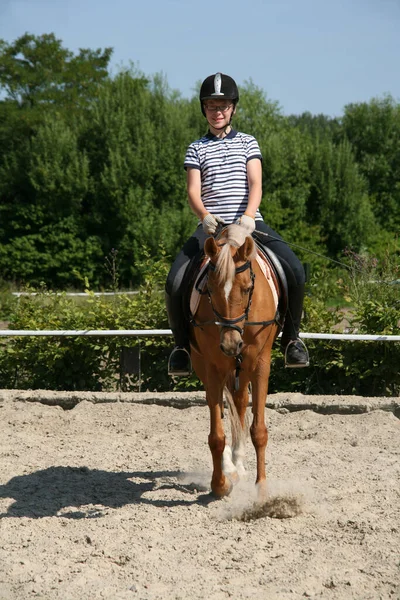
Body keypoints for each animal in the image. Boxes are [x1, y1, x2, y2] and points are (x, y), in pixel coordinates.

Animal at [189, 223, 282, 500]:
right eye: (210, 289)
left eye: (247, 288)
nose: (231, 344)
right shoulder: (212, 365)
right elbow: (216, 436)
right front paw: (220, 484)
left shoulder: (260, 362)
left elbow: (259, 430)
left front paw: (262, 491)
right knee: (224, 403)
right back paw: (231, 467)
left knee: (240, 401)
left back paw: (238, 463)